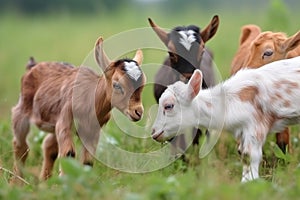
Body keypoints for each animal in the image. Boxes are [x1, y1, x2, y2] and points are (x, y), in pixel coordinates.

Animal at [10, 36, 144, 182]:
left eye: (142, 84)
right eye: (117, 85)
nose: (138, 112)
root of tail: (33, 66)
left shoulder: (92, 131)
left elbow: (87, 162)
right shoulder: (65, 122)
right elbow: (68, 154)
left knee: (48, 146)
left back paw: (44, 182)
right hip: (22, 111)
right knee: (21, 146)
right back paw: (16, 182)